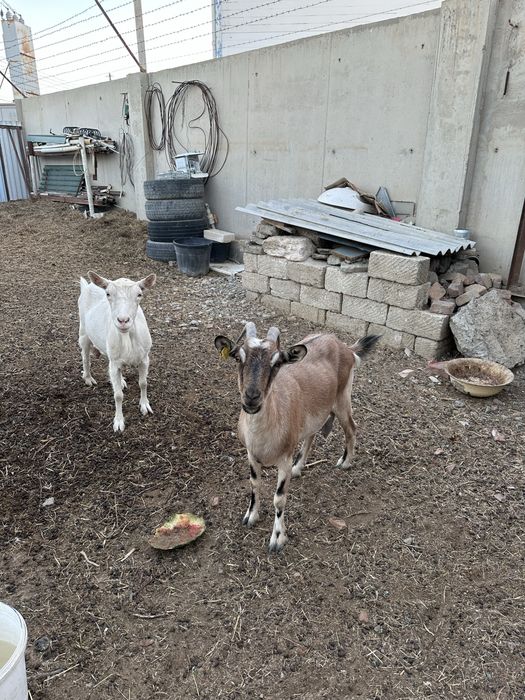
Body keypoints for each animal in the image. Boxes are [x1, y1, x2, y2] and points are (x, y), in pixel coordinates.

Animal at [78, 271, 156, 432]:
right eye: (108, 293)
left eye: (139, 294)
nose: (123, 320)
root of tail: (88, 285)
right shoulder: (115, 363)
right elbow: (118, 395)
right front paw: (119, 422)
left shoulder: (144, 358)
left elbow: (143, 383)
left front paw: (145, 406)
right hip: (83, 331)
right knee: (85, 355)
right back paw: (88, 378)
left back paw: (120, 380)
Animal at [215, 323, 380, 553]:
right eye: (238, 357)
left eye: (277, 363)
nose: (251, 397)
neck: (263, 435)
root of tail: (344, 346)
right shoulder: (251, 455)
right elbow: (254, 485)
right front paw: (250, 516)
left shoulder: (283, 458)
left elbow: (279, 499)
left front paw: (277, 539)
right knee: (312, 435)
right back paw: (298, 467)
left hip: (342, 398)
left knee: (351, 428)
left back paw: (345, 462)